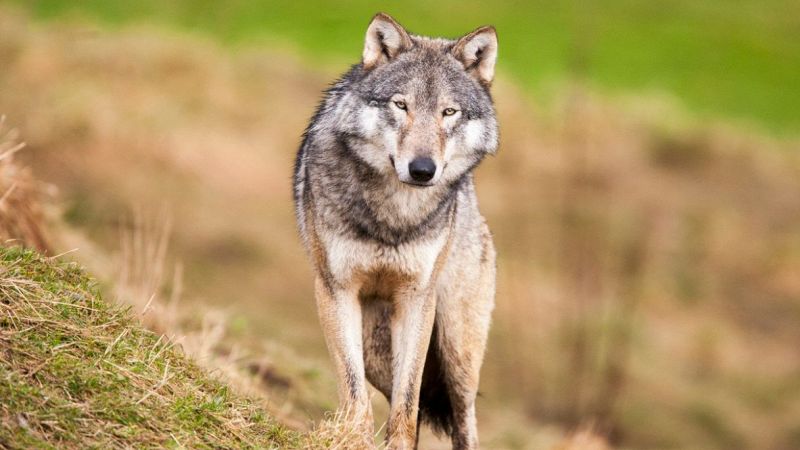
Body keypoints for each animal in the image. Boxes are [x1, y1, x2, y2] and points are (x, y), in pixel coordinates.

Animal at [293, 12, 499, 449]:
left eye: (449, 112)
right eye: (401, 105)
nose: (422, 170)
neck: (394, 217)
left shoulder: (417, 299)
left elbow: (406, 401)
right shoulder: (336, 291)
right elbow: (355, 392)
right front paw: (353, 439)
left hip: (457, 352)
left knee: (462, 419)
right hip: (377, 351)